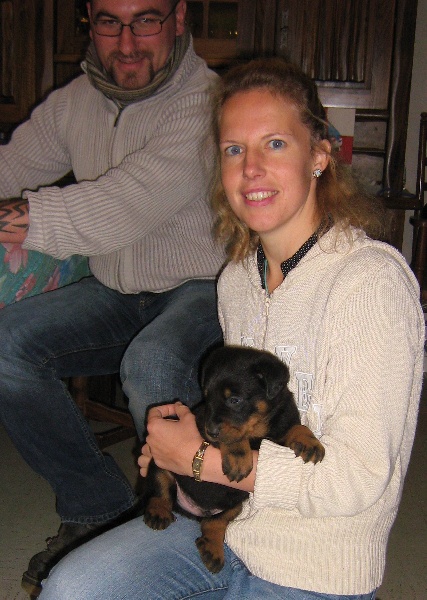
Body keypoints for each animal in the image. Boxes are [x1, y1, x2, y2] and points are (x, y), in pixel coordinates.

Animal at [143, 346, 325, 573]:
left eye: (234, 400)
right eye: (207, 398)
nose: (211, 432)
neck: (260, 429)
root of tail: (195, 511)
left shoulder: (281, 424)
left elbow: (296, 427)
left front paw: (309, 442)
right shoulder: (201, 420)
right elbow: (234, 436)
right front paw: (239, 458)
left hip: (237, 503)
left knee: (214, 522)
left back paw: (211, 548)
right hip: (159, 463)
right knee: (160, 488)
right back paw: (158, 513)